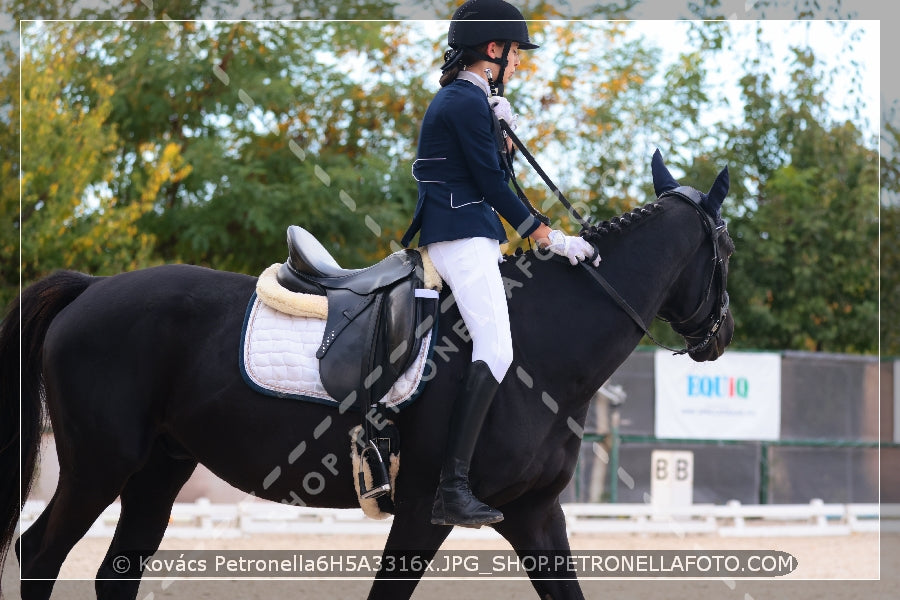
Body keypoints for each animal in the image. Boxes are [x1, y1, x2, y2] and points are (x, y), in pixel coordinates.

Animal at [0, 151, 732, 600]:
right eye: (726, 245)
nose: (719, 337)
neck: (541, 347)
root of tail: (93, 287)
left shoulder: (535, 514)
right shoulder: (422, 512)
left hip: (157, 471)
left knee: (113, 572)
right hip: (100, 466)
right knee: (39, 555)